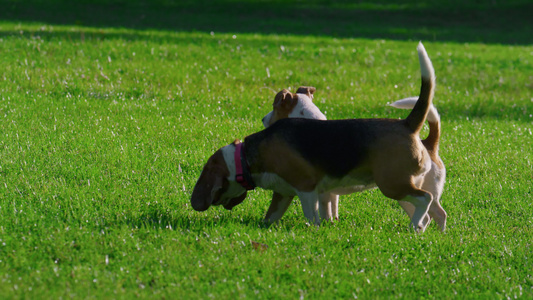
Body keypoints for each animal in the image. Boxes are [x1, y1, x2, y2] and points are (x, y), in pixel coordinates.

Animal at [189, 42, 446, 231]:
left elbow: (313, 214)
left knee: (424, 200)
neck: (245, 157)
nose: (263, 118)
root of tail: (408, 125)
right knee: (436, 212)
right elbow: (272, 216)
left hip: (393, 185)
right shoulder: (283, 193)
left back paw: (414, 226)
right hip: (408, 187)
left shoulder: (307, 188)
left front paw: (315, 229)